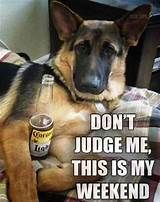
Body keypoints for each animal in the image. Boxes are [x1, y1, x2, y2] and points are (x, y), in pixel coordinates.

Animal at [0, 1, 151, 202]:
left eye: (109, 50)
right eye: (81, 47)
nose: (89, 85)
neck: (74, 95)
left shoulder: (61, 139)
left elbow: (97, 164)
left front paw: (44, 178)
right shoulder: (17, 125)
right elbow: (24, 176)